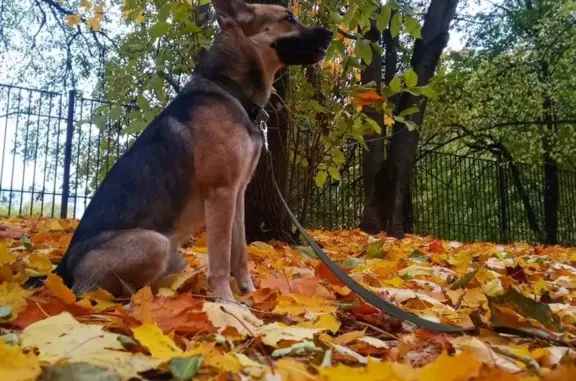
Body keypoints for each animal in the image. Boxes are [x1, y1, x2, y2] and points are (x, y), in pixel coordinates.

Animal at [47, 0, 336, 302]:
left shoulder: (237, 194)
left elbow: (240, 252)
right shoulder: (221, 192)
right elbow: (220, 258)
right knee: (107, 294)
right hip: (155, 243)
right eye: (288, 18)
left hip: (173, 255)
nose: (330, 34)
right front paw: (228, 303)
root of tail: (63, 270)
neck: (230, 90)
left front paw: (249, 292)